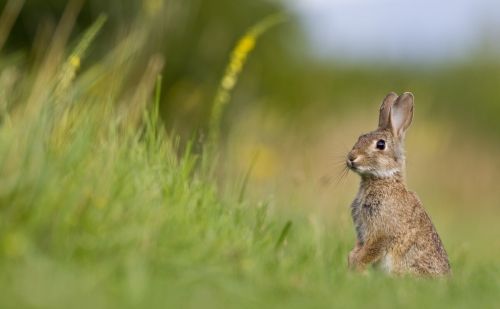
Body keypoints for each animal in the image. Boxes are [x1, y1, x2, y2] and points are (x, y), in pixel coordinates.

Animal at [346, 91, 452, 274]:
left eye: (381, 144)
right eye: (360, 137)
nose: (351, 158)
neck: (384, 180)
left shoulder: (382, 232)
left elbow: (371, 250)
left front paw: (357, 267)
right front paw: (351, 262)